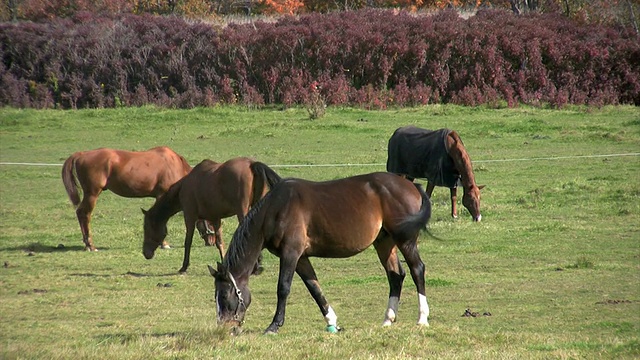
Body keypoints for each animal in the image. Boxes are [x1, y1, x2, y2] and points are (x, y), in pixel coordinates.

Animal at [64, 146, 198, 250]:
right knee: (84, 214)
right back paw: (90, 245)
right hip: (92, 194)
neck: (174, 165)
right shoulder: (162, 195)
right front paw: (163, 243)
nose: (207, 243)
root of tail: (82, 154)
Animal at [142, 158, 282, 272]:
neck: (183, 187)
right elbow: (219, 242)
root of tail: (251, 164)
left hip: (242, 211)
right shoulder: (215, 218)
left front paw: (184, 266)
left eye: (147, 228)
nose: (145, 253)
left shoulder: (189, 216)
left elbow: (188, 241)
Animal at [208, 172, 432, 334]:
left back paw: (422, 318)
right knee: (396, 275)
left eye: (225, 295)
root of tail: (412, 186)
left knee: (417, 269)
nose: (225, 329)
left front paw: (274, 325)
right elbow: (314, 288)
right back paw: (388, 319)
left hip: (405, 240)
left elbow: (283, 288)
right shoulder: (301, 258)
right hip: (384, 242)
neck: (275, 209)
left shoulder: (291, 253)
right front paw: (332, 322)